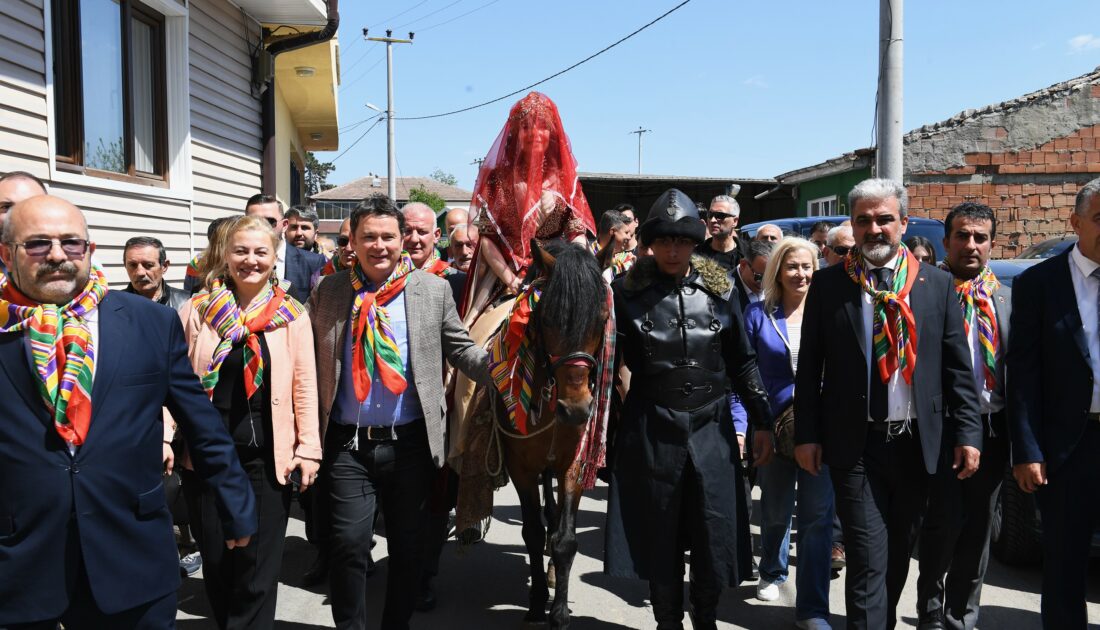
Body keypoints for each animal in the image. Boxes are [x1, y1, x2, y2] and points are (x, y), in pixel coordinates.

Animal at [497, 238, 611, 624]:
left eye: (601, 318)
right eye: (546, 319)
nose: (575, 409)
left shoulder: (571, 464)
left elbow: (566, 539)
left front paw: (559, 610)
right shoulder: (521, 467)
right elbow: (531, 532)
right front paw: (536, 603)